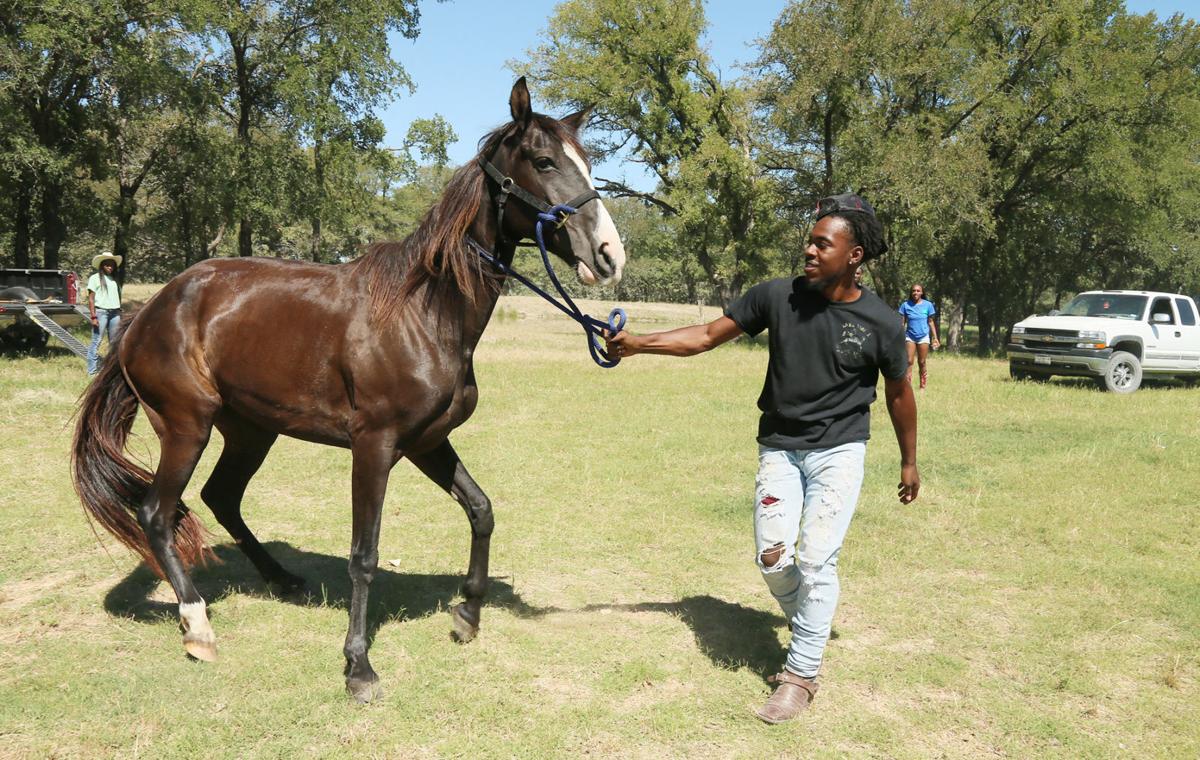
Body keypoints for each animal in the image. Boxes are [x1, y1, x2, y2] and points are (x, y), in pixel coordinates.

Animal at [71, 78, 626, 702]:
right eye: (543, 160)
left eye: (588, 164)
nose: (609, 254)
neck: (423, 312)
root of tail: (150, 311)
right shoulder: (374, 446)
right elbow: (364, 555)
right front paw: (358, 665)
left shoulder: (427, 443)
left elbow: (480, 510)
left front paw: (468, 615)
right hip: (187, 427)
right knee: (157, 513)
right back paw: (197, 625)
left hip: (251, 431)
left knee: (222, 497)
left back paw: (282, 578)